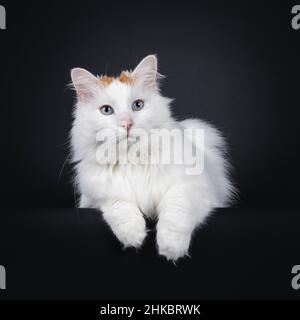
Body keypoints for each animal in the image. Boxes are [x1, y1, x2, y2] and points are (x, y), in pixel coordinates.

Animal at [69, 55, 234, 260]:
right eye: (106, 110)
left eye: (137, 105)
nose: (127, 124)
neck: (132, 158)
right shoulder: (97, 197)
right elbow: (119, 206)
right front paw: (133, 235)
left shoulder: (193, 187)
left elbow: (176, 211)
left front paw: (171, 246)